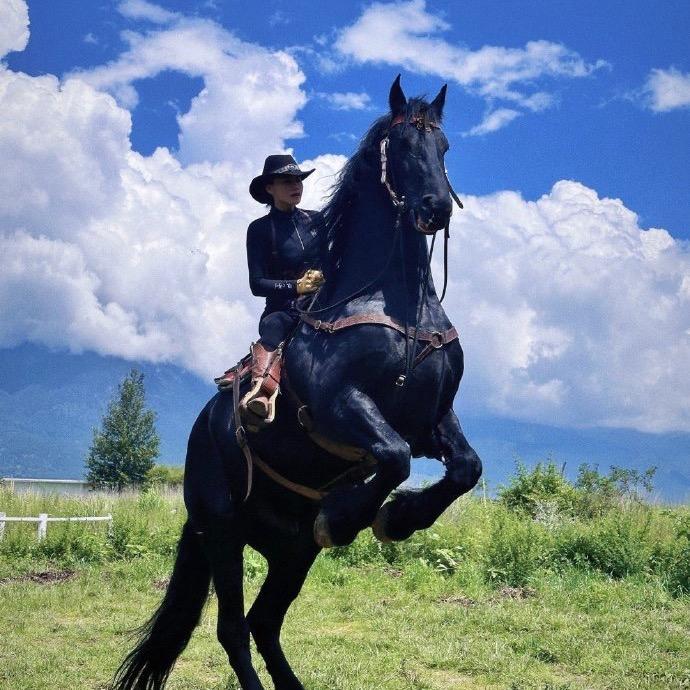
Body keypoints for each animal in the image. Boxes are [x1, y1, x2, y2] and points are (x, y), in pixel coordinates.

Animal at [112, 76, 482, 690]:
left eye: (445, 147)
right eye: (404, 147)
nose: (435, 209)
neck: (395, 307)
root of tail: (200, 433)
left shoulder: (431, 419)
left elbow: (465, 468)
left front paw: (399, 518)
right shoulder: (342, 406)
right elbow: (394, 456)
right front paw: (347, 516)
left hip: (289, 551)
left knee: (264, 624)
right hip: (222, 532)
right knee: (234, 630)